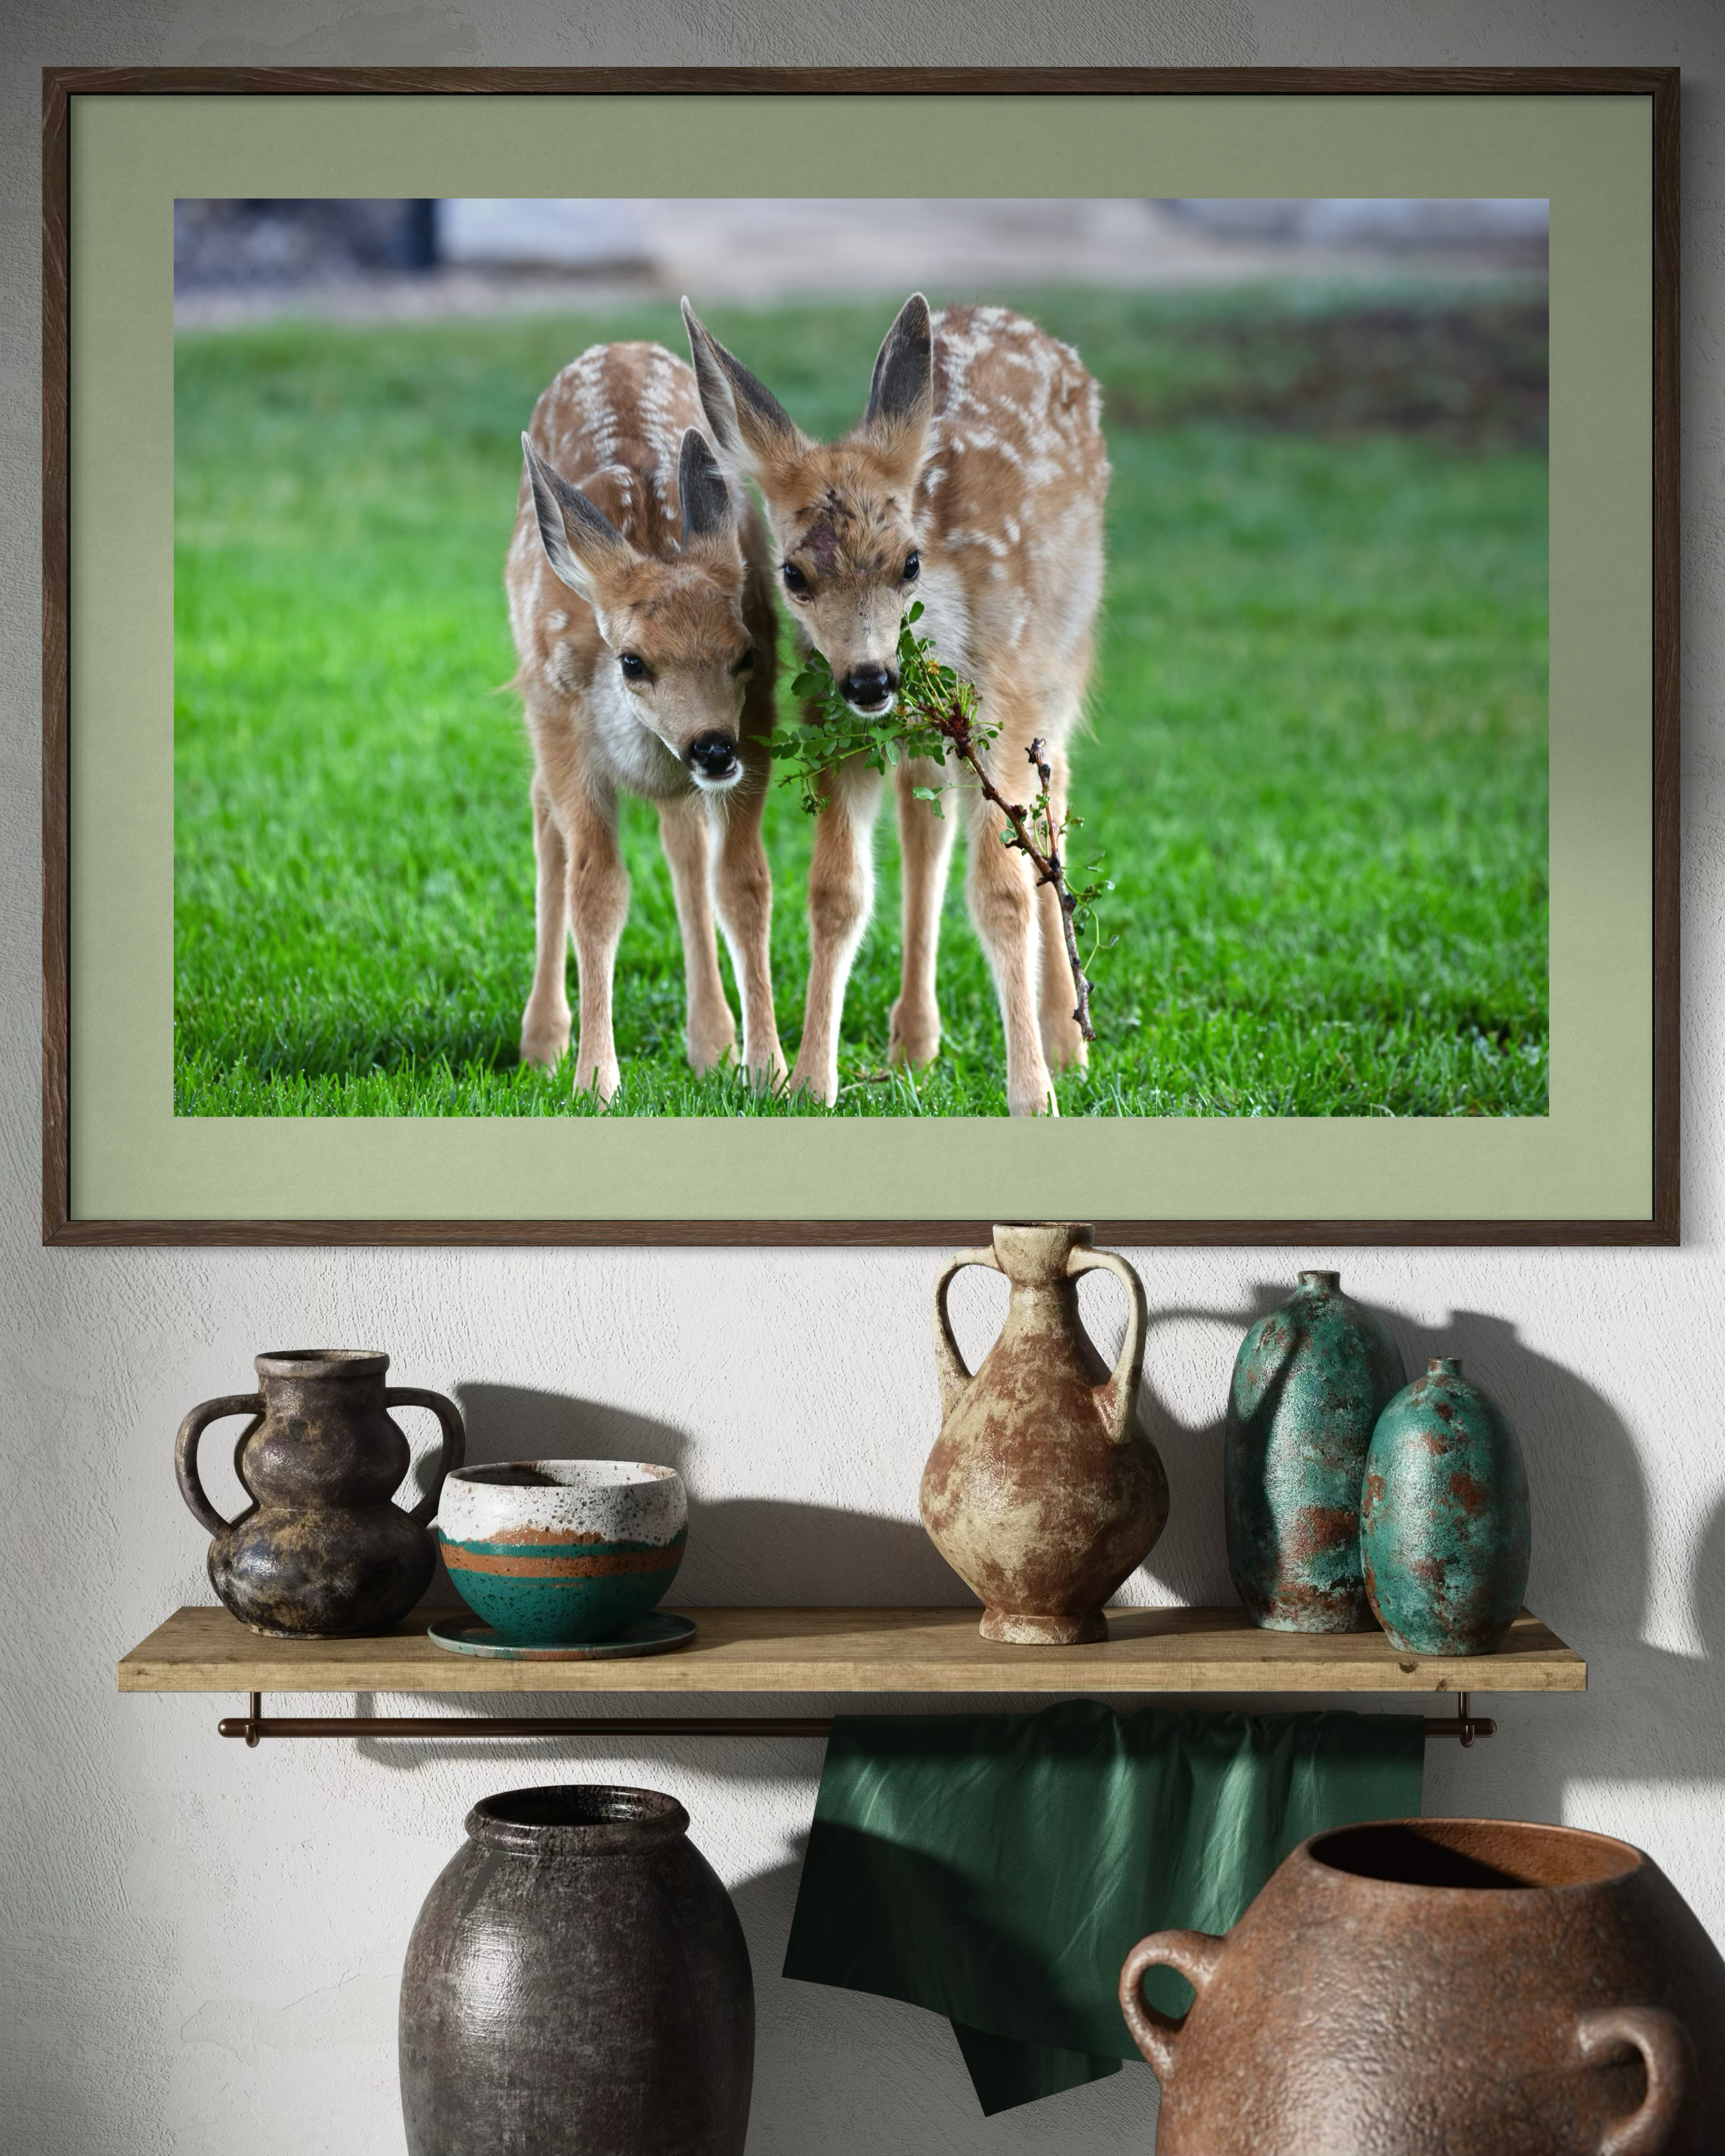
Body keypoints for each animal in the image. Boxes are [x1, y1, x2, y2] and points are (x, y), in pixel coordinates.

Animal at [505, 341, 784, 1104]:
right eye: (632, 661)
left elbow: (743, 883)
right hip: (539, 705)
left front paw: (770, 1070)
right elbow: (598, 891)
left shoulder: (758, 728)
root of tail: (615, 349)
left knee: (685, 845)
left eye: (746, 652)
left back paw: (711, 1041)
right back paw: (541, 1041)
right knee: (545, 825)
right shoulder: (564, 730)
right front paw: (595, 1082)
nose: (712, 748)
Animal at [682, 293, 1109, 1117]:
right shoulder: (837, 734)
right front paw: (812, 1083)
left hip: (1060, 664)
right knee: (924, 825)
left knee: (1056, 804)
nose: (872, 680)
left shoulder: (1003, 706)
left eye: (909, 561)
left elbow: (1002, 893)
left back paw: (1067, 1041)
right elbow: (837, 892)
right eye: (794, 574)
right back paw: (914, 1042)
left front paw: (1032, 1095)